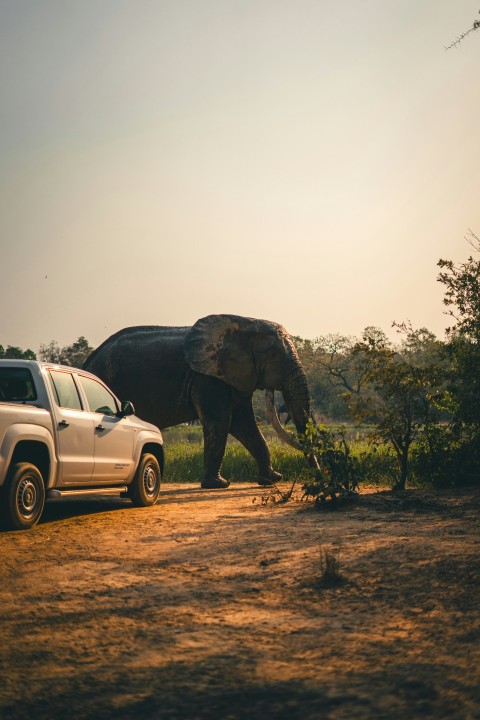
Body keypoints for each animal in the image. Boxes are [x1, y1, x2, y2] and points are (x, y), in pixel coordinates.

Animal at [83, 314, 316, 489]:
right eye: (274, 355)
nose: (315, 475)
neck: (245, 323)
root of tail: (88, 362)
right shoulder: (206, 379)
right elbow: (221, 422)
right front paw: (219, 484)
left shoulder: (232, 378)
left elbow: (244, 424)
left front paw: (271, 479)